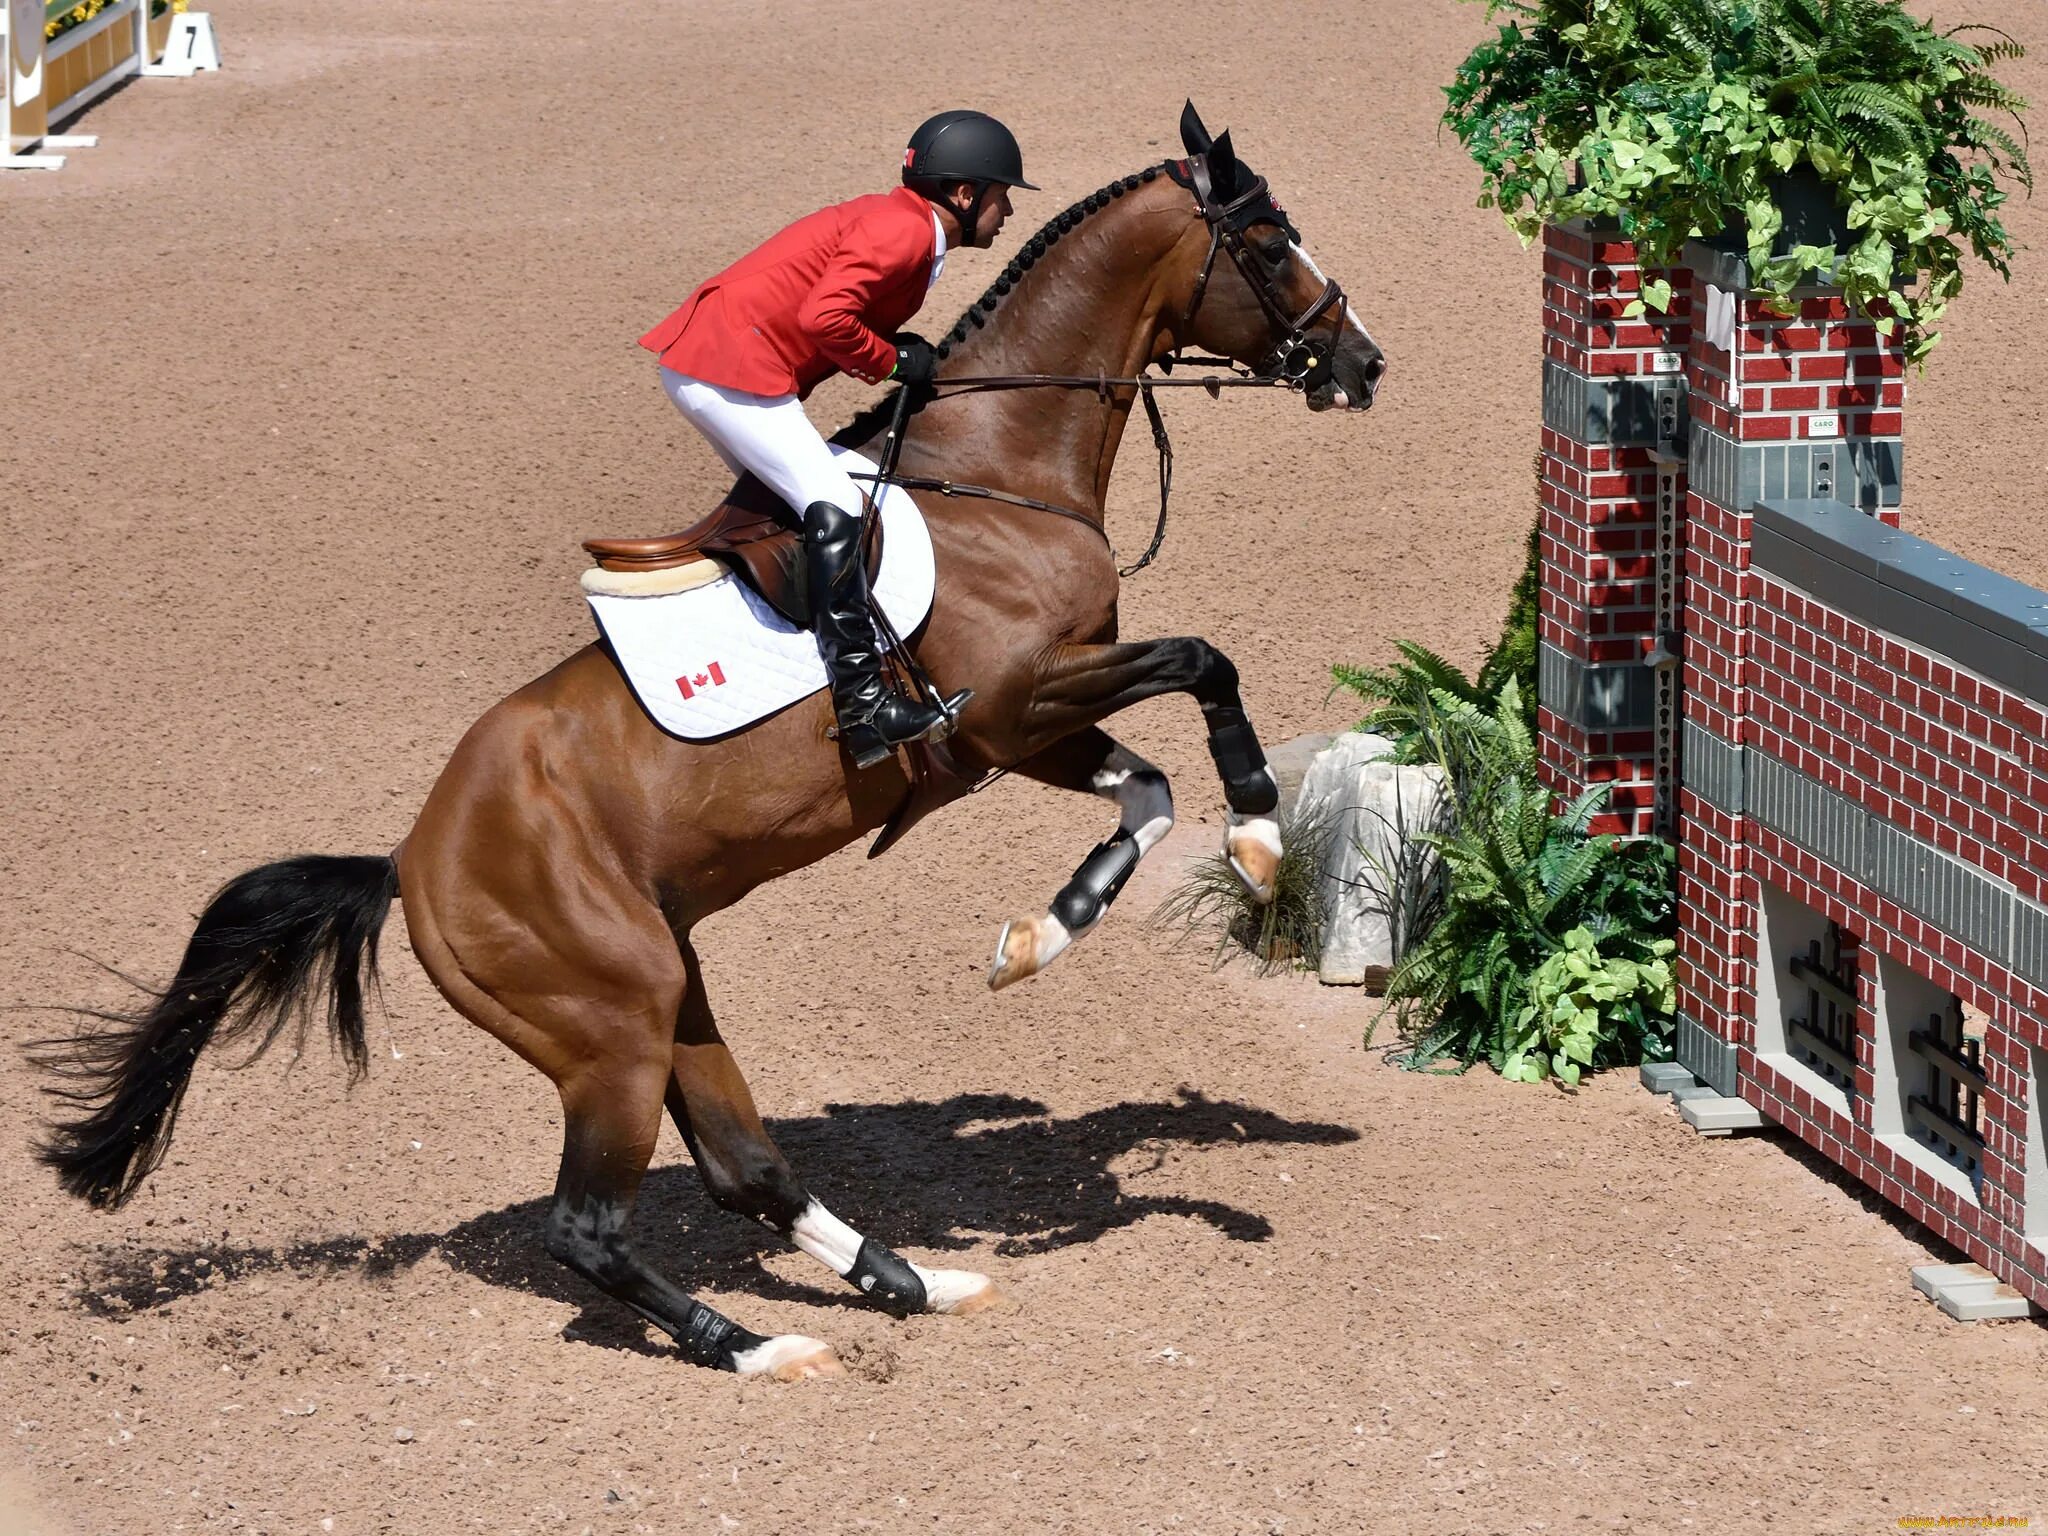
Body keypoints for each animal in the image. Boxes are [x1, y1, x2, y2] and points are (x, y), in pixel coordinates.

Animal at [32, 108, 1384, 1384]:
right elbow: (1205, 662)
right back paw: (752, 1346)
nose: (1362, 362)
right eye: (1269, 242)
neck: (1000, 472)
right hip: (611, 1023)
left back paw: (914, 1286)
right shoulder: (1009, 703)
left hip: (668, 987)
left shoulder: (1010, 733)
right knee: (586, 1228)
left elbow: (1142, 790)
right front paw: (1259, 835)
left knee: (744, 1170)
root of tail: (411, 862)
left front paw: (1038, 937)